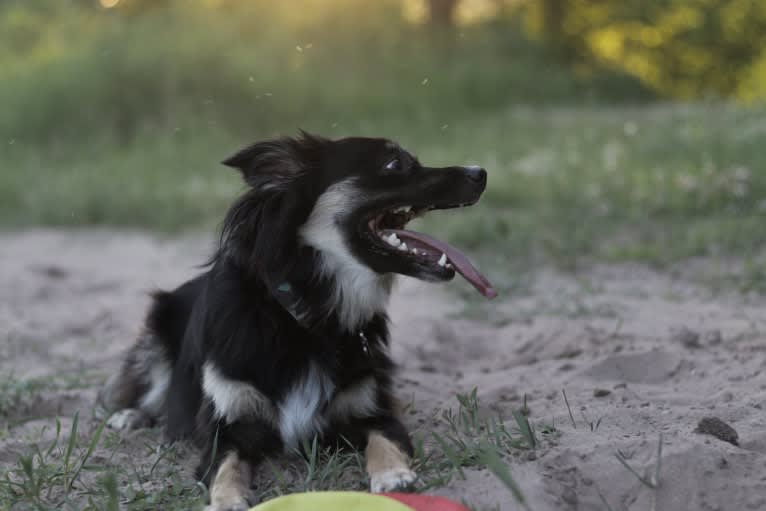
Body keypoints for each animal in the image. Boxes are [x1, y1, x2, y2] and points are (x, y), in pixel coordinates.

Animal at [99, 133, 496, 511]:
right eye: (394, 163)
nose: (481, 172)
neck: (308, 316)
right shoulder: (226, 428)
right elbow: (225, 467)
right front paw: (226, 499)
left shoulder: (373, 412)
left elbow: (384, 441)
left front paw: (393, 475)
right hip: (156, 333)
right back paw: (130, 416)